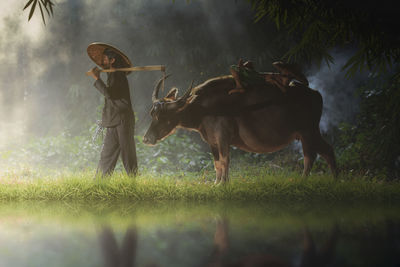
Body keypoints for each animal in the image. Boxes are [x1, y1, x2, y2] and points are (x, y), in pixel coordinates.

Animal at [144, 75, 338, 184]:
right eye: (152, 113)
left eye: (162, 116)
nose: (146, 139)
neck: (204, 108)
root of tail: (315, 93)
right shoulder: (212, 142)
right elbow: (217, 163)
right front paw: (216, 183)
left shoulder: (223, 138)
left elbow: (225, 160)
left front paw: (224, 183)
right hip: (307, 134)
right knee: (322, 151)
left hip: (308, 132)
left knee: (315, 154)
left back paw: (312, 180)